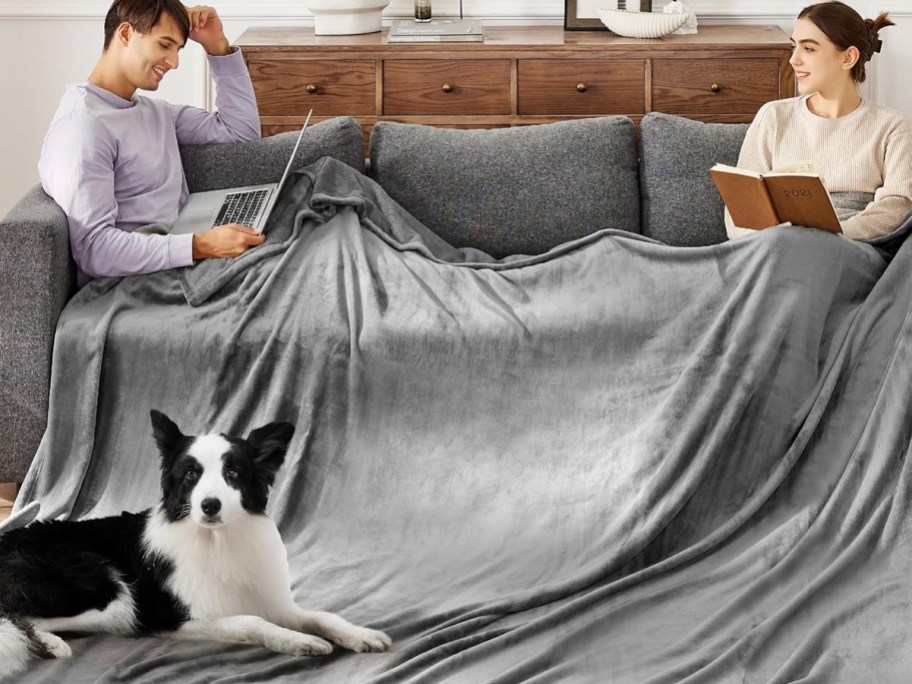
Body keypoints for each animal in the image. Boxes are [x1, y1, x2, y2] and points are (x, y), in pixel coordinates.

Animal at [0, 412, 388, 680]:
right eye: (190, 474)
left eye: (233, 473)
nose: (210, 505)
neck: (217, 540)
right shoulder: (173, 618)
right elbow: (252, 622)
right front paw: (296, 641)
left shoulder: (272, 601)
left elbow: (322, 616)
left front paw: (360, 634)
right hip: (108, 590)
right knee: (16, 614)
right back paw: (47, 643)